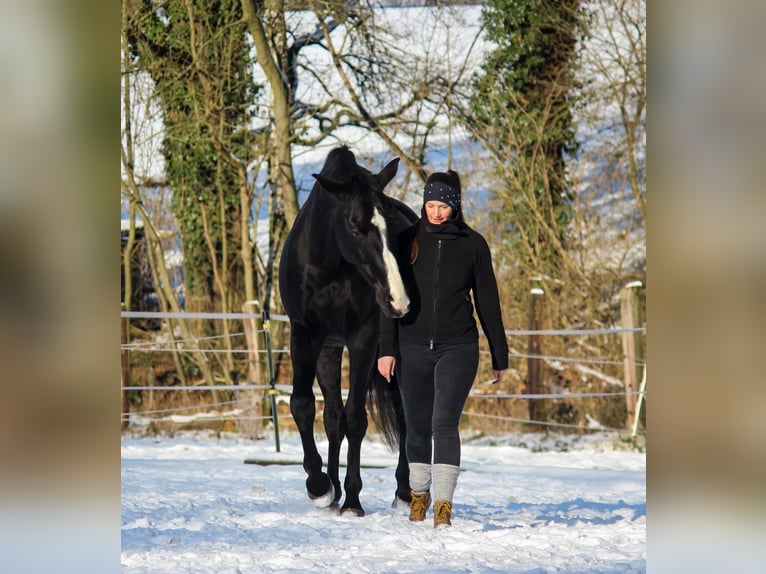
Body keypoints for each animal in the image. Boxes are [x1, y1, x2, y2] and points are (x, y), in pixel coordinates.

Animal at [280, 145, 416, 516]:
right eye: (355, 227)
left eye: (391, 229)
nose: (397, 300)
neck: (329, 267)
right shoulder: (306, 334)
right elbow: (305, 406)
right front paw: (320, 487)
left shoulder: (363, 339)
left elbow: (355, 418)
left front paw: (352, 500)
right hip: (330, 349)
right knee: (332, 418)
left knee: (405, 416)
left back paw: (404, 492)